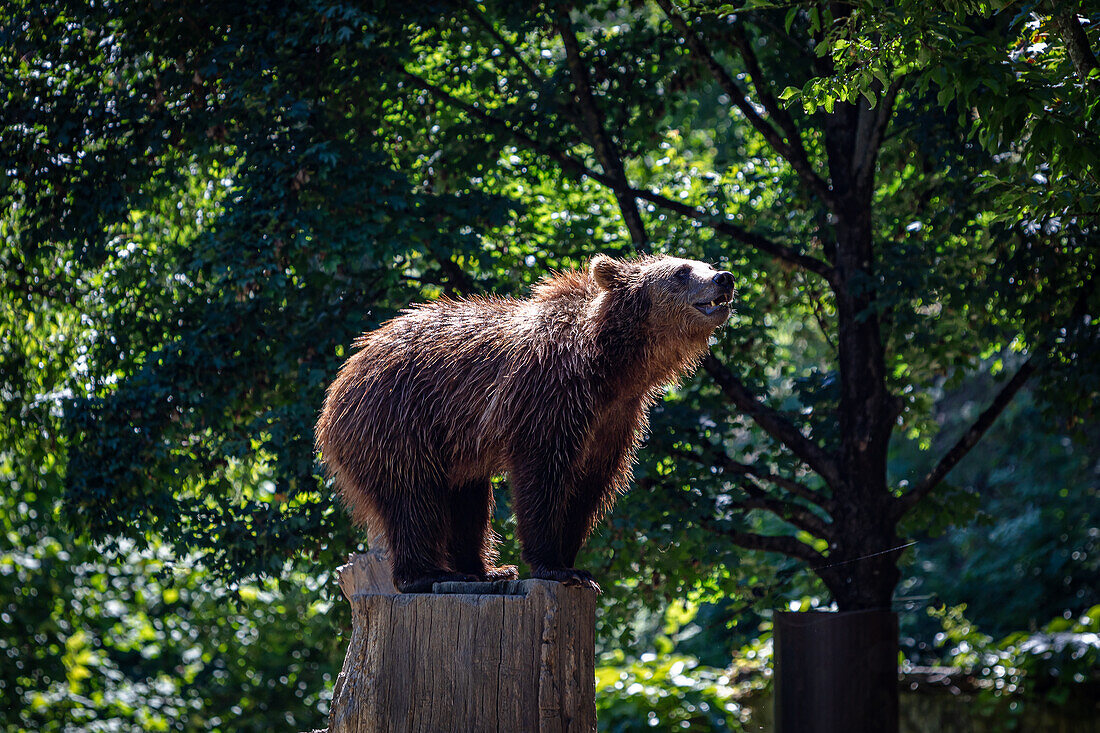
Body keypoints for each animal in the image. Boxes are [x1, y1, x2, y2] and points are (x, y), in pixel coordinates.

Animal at [314, 254, 734, 589]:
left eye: (706, 263)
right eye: (681, 271)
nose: (724, 277)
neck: (612, 367)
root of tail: (340, 383)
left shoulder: (615, 418)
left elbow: (589, 488)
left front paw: (572, 560)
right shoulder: (549, 397)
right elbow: (542, 477)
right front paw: (555, 566)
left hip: (452, 448)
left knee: (465, 500)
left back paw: (485, 570)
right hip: (398, 420)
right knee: (413, 496)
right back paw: (426, 573)